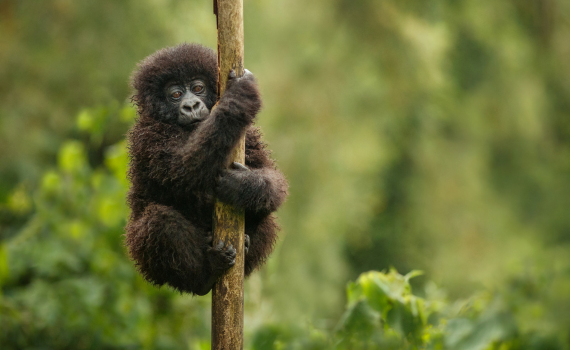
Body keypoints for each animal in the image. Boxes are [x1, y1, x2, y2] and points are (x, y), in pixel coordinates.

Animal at [122, 43, 286, 296]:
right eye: (176, 94)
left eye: (198, 88)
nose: (191, 105)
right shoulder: (147, 137)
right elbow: (184, 169)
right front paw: (239, 96)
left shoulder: (249, 135)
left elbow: (272, 179)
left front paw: (243, 186)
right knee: (158, 221)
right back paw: (205, 275)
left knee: (267, 216)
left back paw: (245, 244)